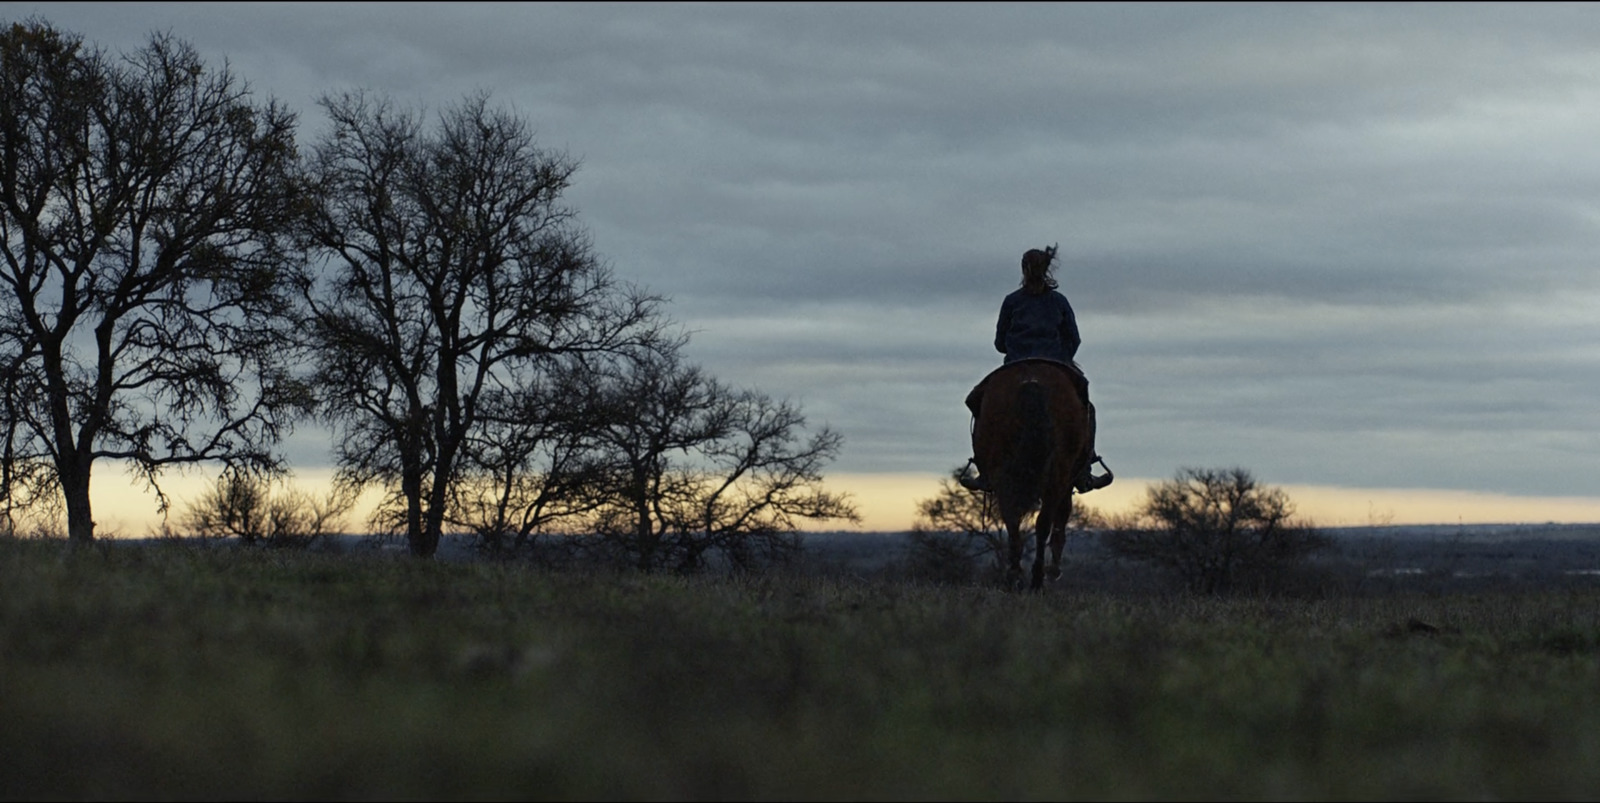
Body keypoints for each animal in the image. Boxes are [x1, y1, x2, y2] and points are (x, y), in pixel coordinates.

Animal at [966, 358, 1094, 588]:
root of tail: (1031, 381)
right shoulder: (1067, 481)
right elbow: (1060, 521)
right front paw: (1054, 571)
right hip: (1057, 476)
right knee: (1043, 522)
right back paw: (1037, 579)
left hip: (1003, 472)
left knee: (1012, 520)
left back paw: (1015, 577)